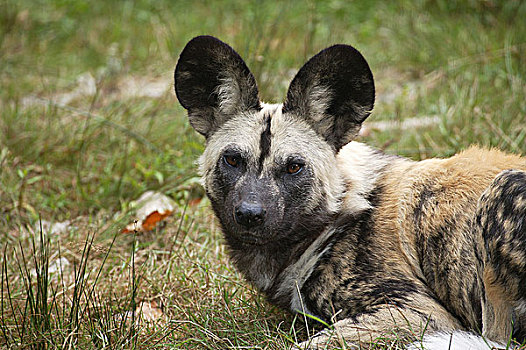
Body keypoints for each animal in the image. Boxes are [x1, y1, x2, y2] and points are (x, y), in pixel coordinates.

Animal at [175, 35, 526, 348]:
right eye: (233, 160)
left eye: (294, 167)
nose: (249, 214)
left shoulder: (421, 313)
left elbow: (311, 344)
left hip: (504, 187)